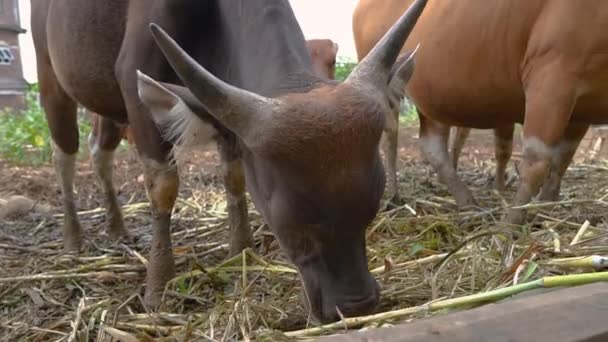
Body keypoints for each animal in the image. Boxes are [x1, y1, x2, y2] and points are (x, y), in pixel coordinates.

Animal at [30, 0, 426, 324]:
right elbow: (163, 186)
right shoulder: (134, 87)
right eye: (291, 224)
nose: (356, 305)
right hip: (53, 82)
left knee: (100, 151)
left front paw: (241, 248)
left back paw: (116, 226)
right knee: (65, 156)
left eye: (371, 207)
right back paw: (73, 238)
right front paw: (158, 285)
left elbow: (235, 177)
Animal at [352, 0, 600, 224]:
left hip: (432, 96)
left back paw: (467, 202)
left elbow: (561, 159)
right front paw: (509, 225)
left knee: (433, 144)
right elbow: (535, 162)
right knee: (392, 140)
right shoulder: (553, 77)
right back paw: (395, 196)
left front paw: (545, 203)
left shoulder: (579, 109)